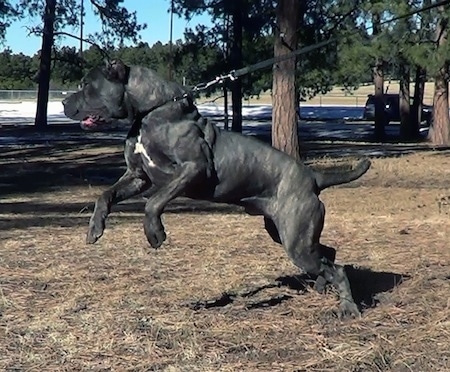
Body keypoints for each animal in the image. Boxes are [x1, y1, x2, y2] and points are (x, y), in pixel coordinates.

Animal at [63, 60, 372, 316]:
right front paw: (94, 228)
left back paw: (348, 309)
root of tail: (313, 177)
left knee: (337, 268)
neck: (149, 114)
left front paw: (155, 233)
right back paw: (322, 286)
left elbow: (153, 202)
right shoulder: (138, 176)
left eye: (86, 85)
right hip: (287, 233)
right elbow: (105, 195)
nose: (65, 100)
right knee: (329, 254)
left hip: (296, 241)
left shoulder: (193, 168)